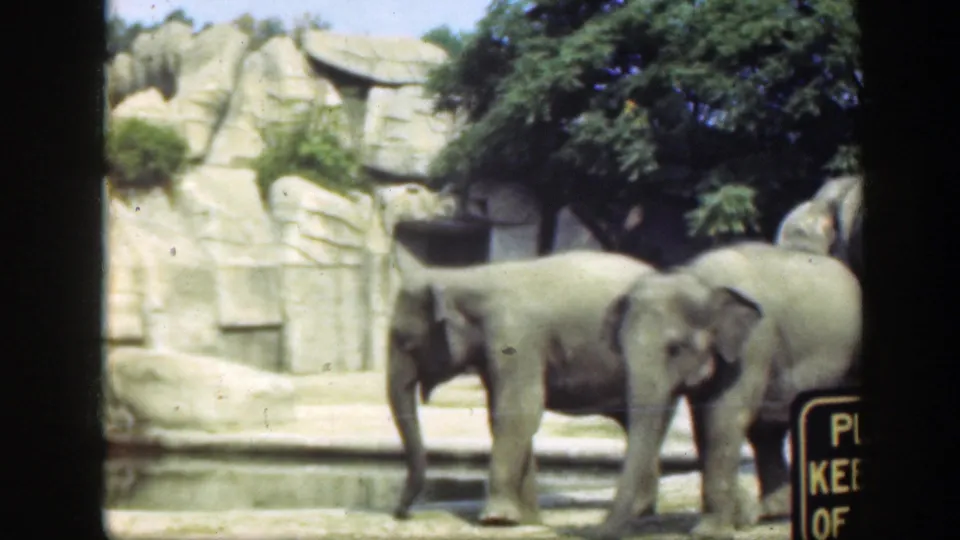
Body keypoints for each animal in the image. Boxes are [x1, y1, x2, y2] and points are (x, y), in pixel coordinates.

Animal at [386, 245, 657, 526]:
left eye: (406, 342)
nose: (401, 513)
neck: (462, 276)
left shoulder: (515, 335)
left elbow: (518, 411)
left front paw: (496, 520)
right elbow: (503, 414)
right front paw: (526, 519)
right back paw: (641, 511)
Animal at [596, 241, 861, 540]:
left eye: (675, 348)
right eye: (621, 348)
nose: (595, 530)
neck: (699, 280)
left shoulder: (755, 345)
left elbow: (724, 418)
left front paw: (709, 533)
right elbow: (703, 425)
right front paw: (737, 520)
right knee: (766, 434)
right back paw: (772, 513)